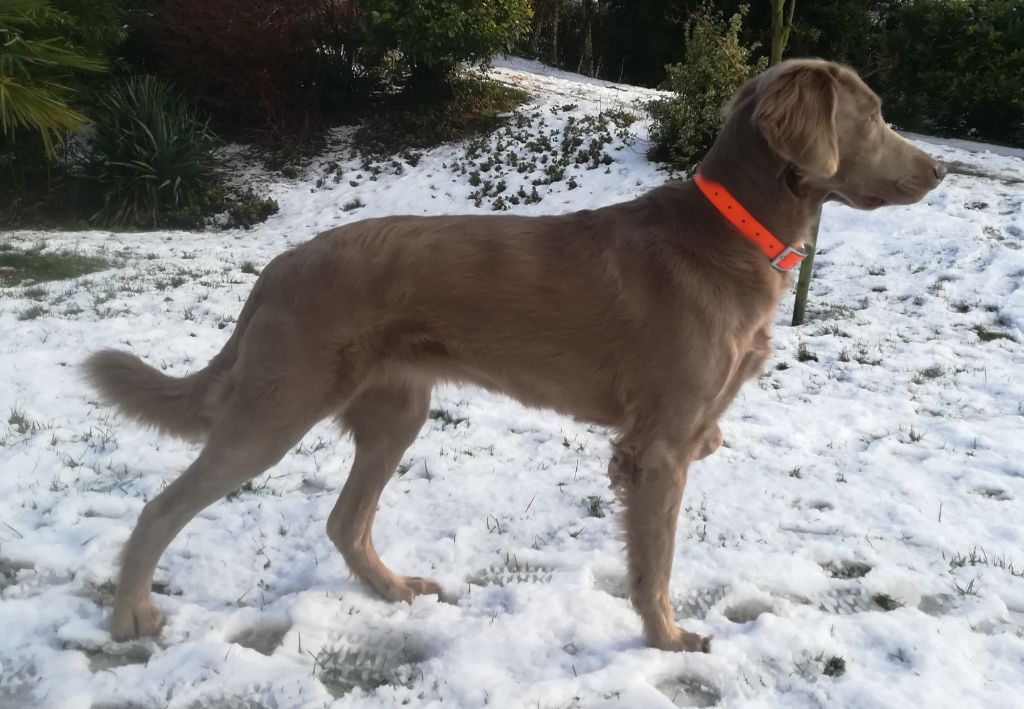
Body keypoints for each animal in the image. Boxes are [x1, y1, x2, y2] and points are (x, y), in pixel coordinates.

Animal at [86, 58, 942, 651]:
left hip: (395, 410)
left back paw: (394, 590)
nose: (938, 168)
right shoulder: (660, 446)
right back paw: (132, 614)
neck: (731, 233)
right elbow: (656, 561)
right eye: (874, 114)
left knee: (344, 520)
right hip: (277, 408)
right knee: (162, 506)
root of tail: (279, 264)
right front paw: (667, 639)